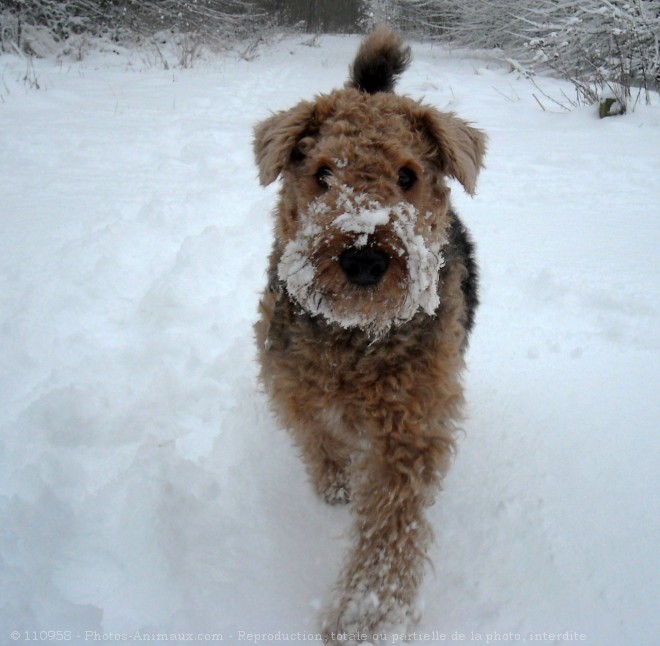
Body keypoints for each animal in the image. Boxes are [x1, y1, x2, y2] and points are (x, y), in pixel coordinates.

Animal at [251, 26, 484, 644]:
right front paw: (336, 488)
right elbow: (319, 440)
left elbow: (389, 529)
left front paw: (366, 615)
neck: (354, 338)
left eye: (407, 175)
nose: (363, 258)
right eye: (323, 173)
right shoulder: (292, 386)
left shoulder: (411, 428)